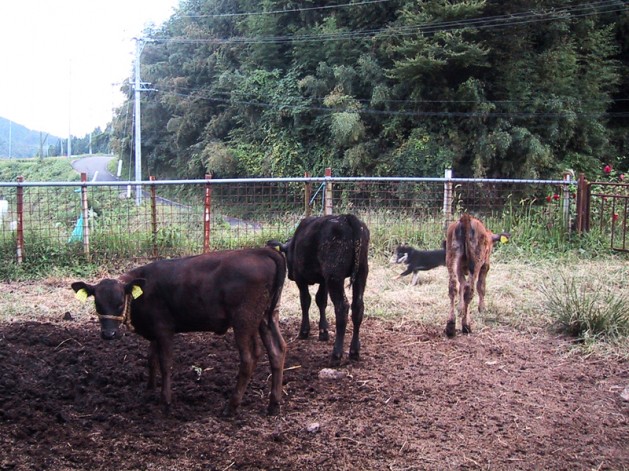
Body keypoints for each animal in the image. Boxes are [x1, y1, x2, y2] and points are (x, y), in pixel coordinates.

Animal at [71, 249, 284, 414]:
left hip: (243, 322)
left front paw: (165, 401)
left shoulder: (164, 329)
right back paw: (273, 404)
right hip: (266, 318)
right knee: (277, 351)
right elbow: (151, 359)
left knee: (248, 359)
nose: (109, 335)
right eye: (97, 303)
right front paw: (149, 389)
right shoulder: (154, 331)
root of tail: (259, 251)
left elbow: (165, 363)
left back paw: (231, 406)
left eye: (119, 302)